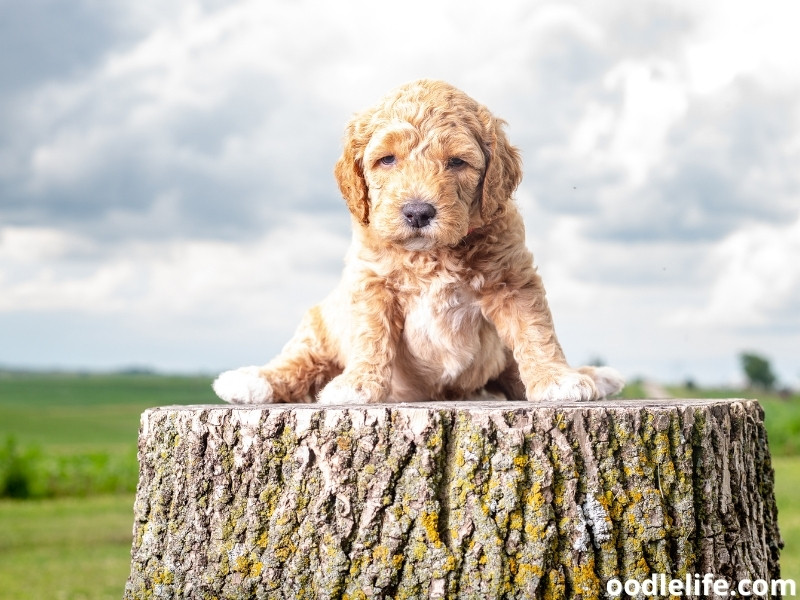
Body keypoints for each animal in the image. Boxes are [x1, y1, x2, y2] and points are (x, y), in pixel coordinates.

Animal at [212, 78, 624, 404]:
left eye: (457, 162)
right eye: (387, 160)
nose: (418, 212)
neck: (432, 256)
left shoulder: (513, 278)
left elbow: (535, 328)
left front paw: (558, 379)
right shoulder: (371, 284)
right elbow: (371, 336)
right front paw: (357, 385)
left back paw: (587, 376)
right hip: (319, 326)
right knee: (299, 362)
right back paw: (250, 381)